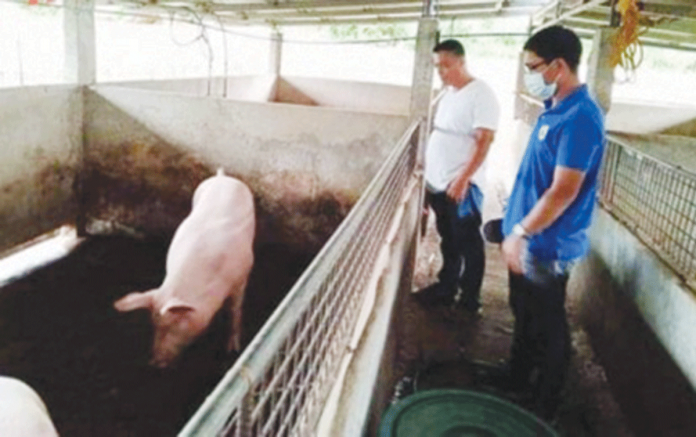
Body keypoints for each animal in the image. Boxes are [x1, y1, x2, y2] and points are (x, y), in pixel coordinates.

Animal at [114, 169, 256, 366]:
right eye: (154, 325)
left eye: (172, 326)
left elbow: (235, 311)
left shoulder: (241, 277)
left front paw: (233, 350)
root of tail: (222, 177)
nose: (154, 362)